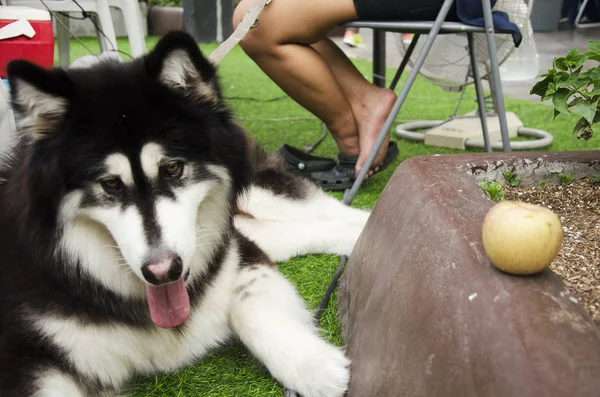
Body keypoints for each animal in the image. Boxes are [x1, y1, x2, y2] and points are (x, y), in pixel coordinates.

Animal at [0, 32, 370, 396]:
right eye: (110, 184)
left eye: (173, 167)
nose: (163, 272)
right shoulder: (26, 354)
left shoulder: (237, 258)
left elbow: (251, 306)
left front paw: (311, 365)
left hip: (259, 194)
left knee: (325, 209)